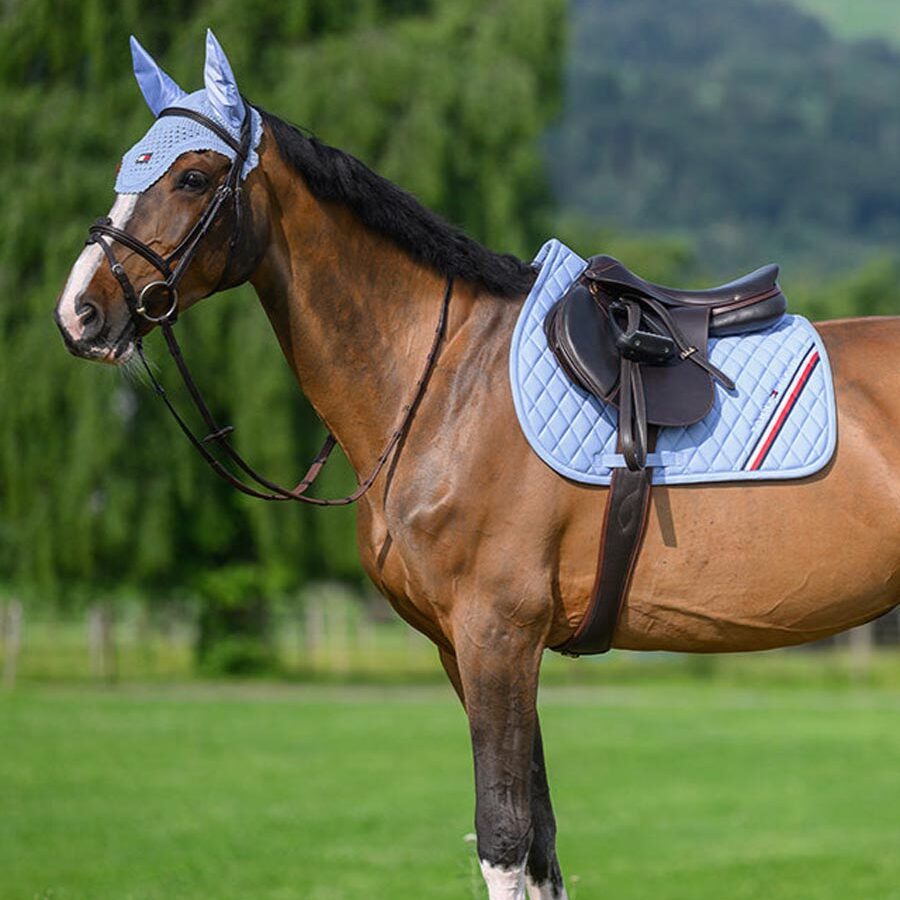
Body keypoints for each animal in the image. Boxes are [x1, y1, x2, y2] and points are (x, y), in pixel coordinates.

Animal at [54, 31, 900, 900]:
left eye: (192, 177)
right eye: (127, 166)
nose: (79, 313)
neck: (446, 385)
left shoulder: (498, 634)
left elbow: (502, 835)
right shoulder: (464, 648)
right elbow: (541, 843)